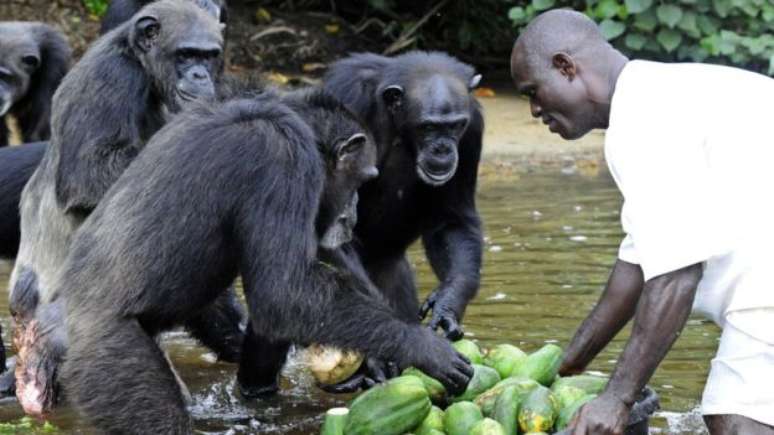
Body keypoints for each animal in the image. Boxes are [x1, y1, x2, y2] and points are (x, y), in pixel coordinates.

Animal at [54, 87, 472, 432]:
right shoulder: (285, 161)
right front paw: (421, 346)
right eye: (364, 179)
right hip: (109, 359)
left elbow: (310, 266)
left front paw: (378, 359)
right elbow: (283, 289)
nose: (353, 210)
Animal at [242, 50, 484, 392]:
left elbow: (453, 219)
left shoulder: (474, 126)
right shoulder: (346, 97)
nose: (442, 149)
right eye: (427, 127)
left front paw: (447, 305)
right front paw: (381, 354)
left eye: (454, 126)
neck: (399, 122)